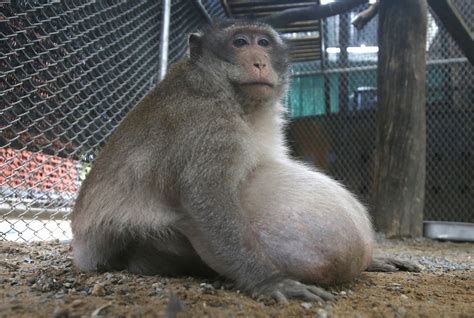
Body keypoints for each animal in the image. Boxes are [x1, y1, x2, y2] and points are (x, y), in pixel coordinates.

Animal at [70, 19, 418, 304]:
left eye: (263, 43)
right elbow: (204, 196)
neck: (232, 97)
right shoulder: (206, 124)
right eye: (239, 42)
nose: (259, 61)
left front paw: (375, 260)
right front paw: (268, 281)